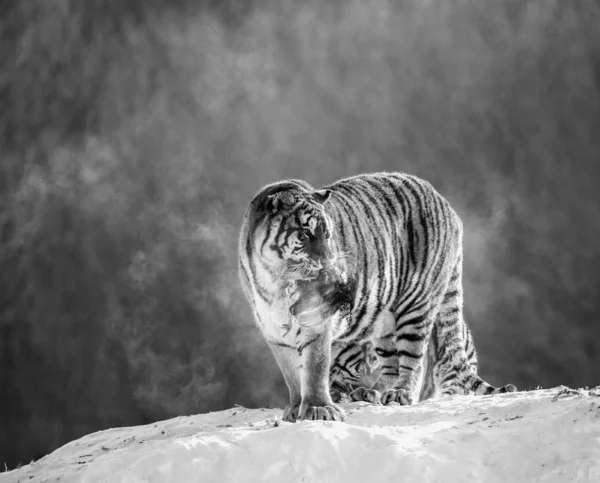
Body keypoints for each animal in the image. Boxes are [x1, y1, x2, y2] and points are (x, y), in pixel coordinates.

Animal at [239, 172, 516, 422]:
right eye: (305, 234)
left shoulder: (318, 320)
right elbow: (291, 373)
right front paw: (296, 408)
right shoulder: (273, 330)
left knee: (413, 359)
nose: (329, 263)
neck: (277, 281)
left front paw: (319, 409)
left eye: (327, 234)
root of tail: (446, 204)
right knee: (391, 363)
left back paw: (399, 394)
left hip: (416, 306)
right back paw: (372, 392)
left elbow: (315, 367)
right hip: (384, 319)